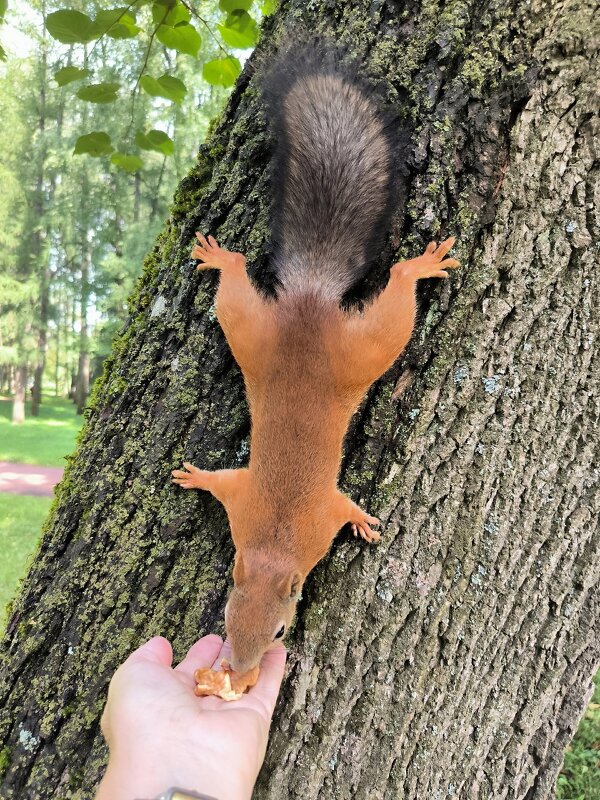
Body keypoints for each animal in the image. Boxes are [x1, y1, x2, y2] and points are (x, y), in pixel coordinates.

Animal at [173, 47, 460, 676]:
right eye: (228, 614)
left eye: (281, 630)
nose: (241, 669)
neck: (278, 539)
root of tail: (309, 302)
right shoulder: (242, 500)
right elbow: (221, 480)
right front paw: (194, 475)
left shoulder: (313, 513)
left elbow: (341, 504)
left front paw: (365, 522)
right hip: (259, 335)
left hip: (349, 344)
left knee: (391, 293)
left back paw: (420, 266)